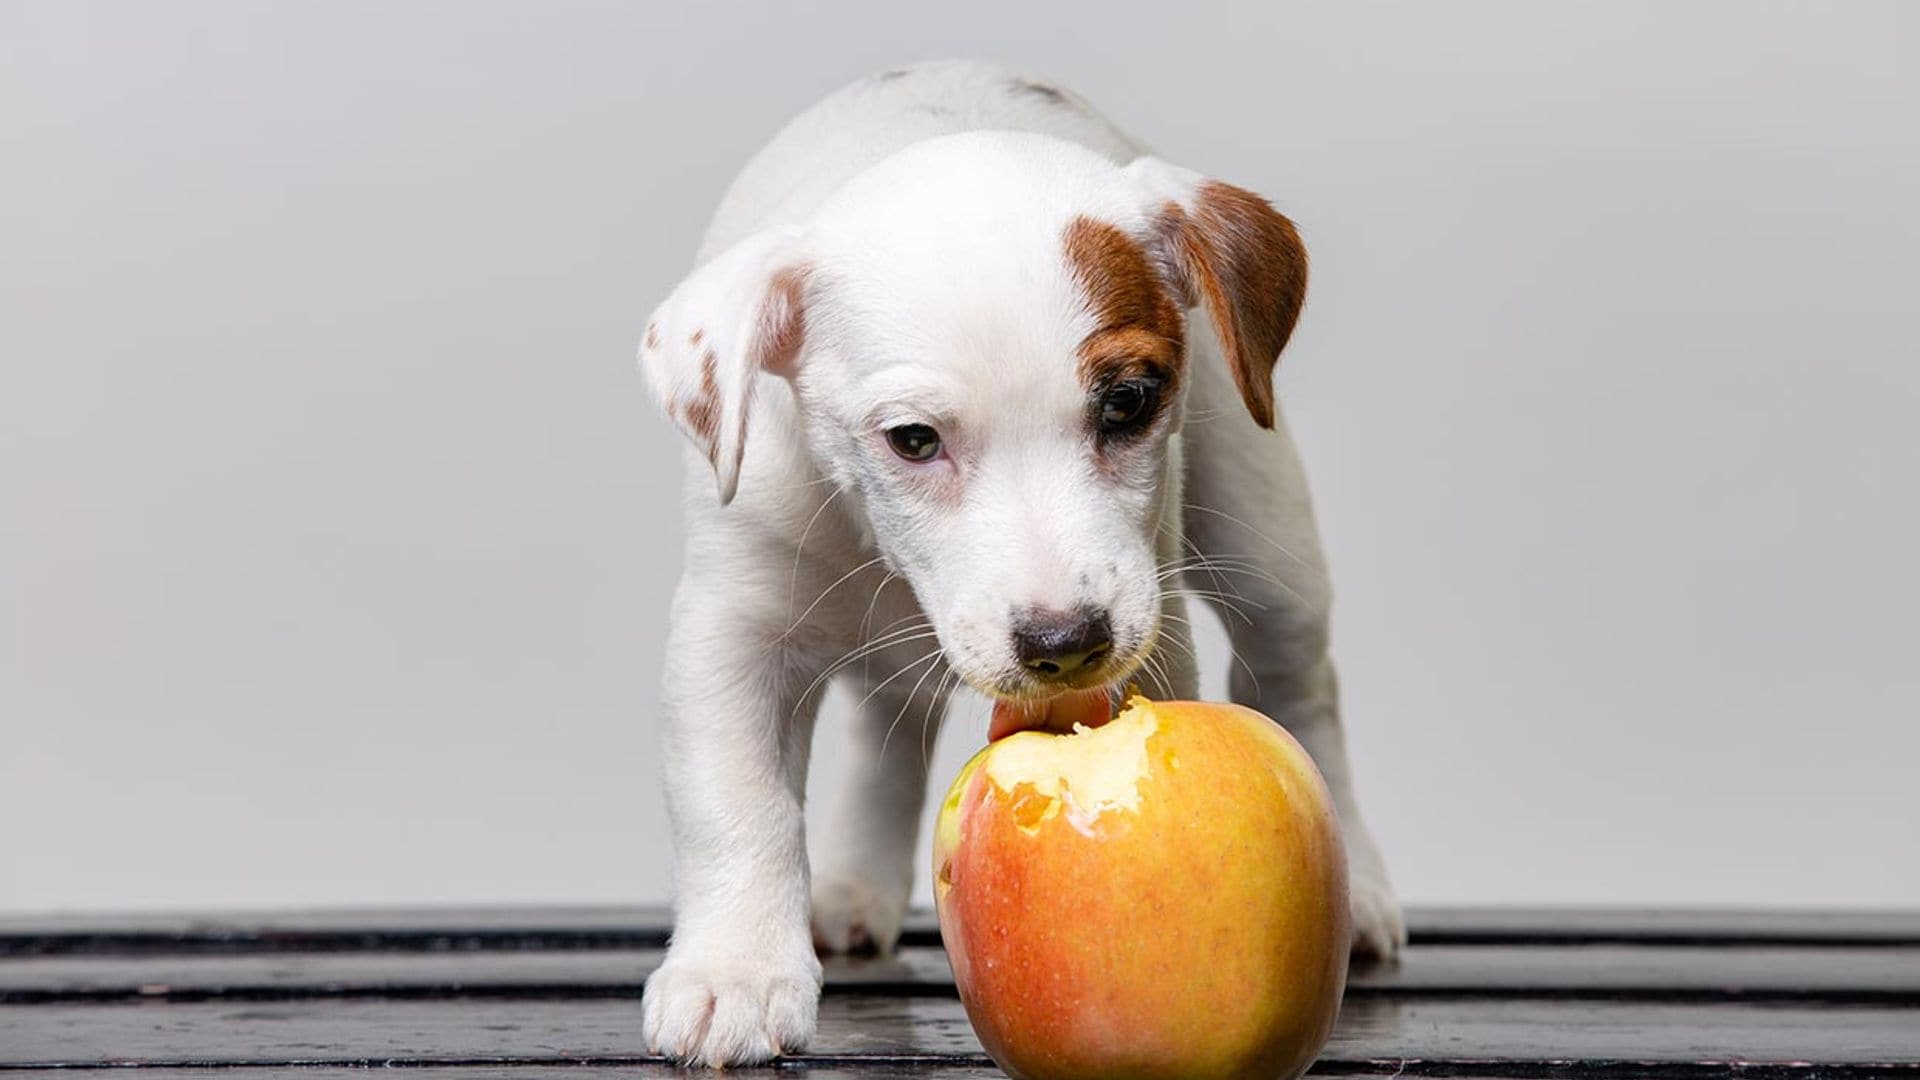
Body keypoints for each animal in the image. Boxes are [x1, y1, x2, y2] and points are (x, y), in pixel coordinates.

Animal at [637, 62, 1405, 1060]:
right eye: (912, 439)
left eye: (1129, 400)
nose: (1064, 643)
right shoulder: (731, 633)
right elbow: (735, 803)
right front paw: (733, 972)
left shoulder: (1151, 626)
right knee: (889, 730)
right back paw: (854, 886)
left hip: (1263, 529)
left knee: (1298, 680)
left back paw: (1361, 885)